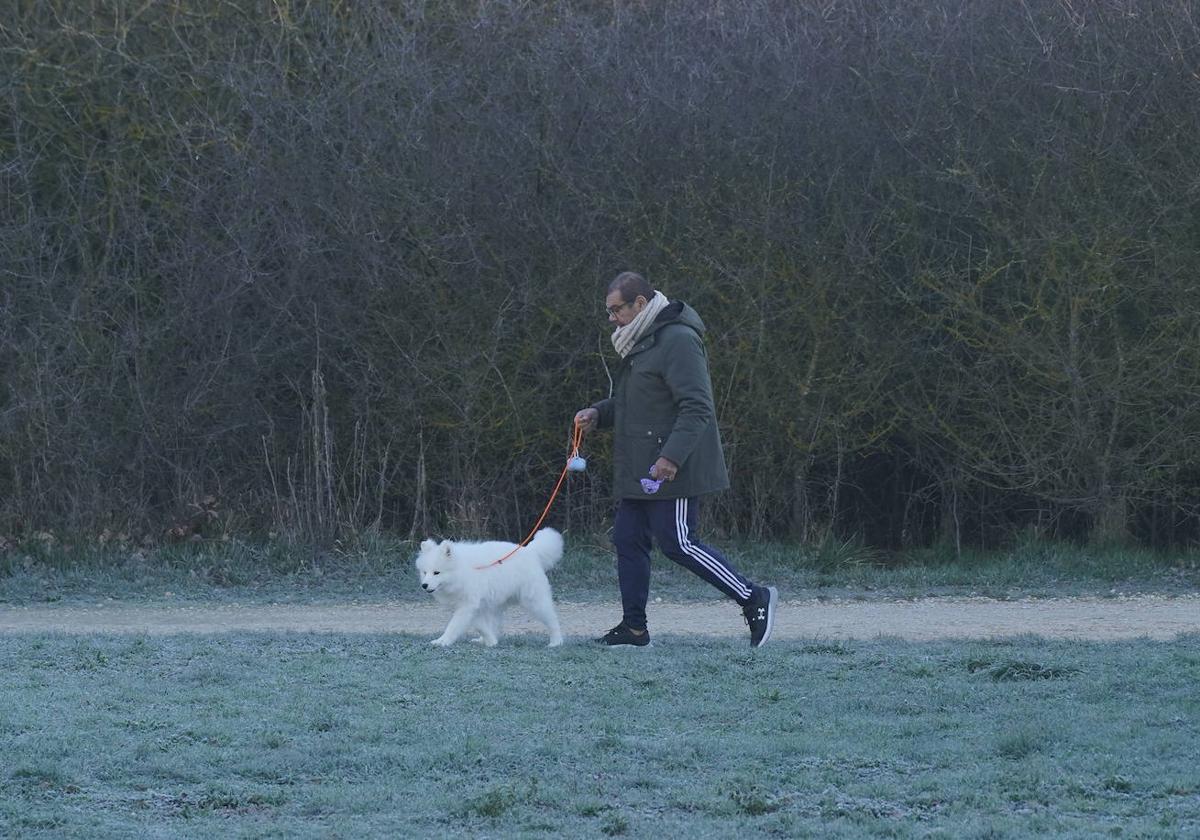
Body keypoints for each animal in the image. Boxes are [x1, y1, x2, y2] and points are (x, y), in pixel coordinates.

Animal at [415, 528, 564, 648]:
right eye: (425, 572)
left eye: (436, 572)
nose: (424, 585)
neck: (462, 570)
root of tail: (530, 551)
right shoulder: (472, 607)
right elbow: (480, 626)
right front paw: (491, 641)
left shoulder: (468, 605)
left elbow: (453, 626)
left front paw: (442, 641)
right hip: (494, 604)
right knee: (494, 623)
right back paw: (482, 640)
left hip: (534, 601)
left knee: (553, 620)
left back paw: (556, 642)